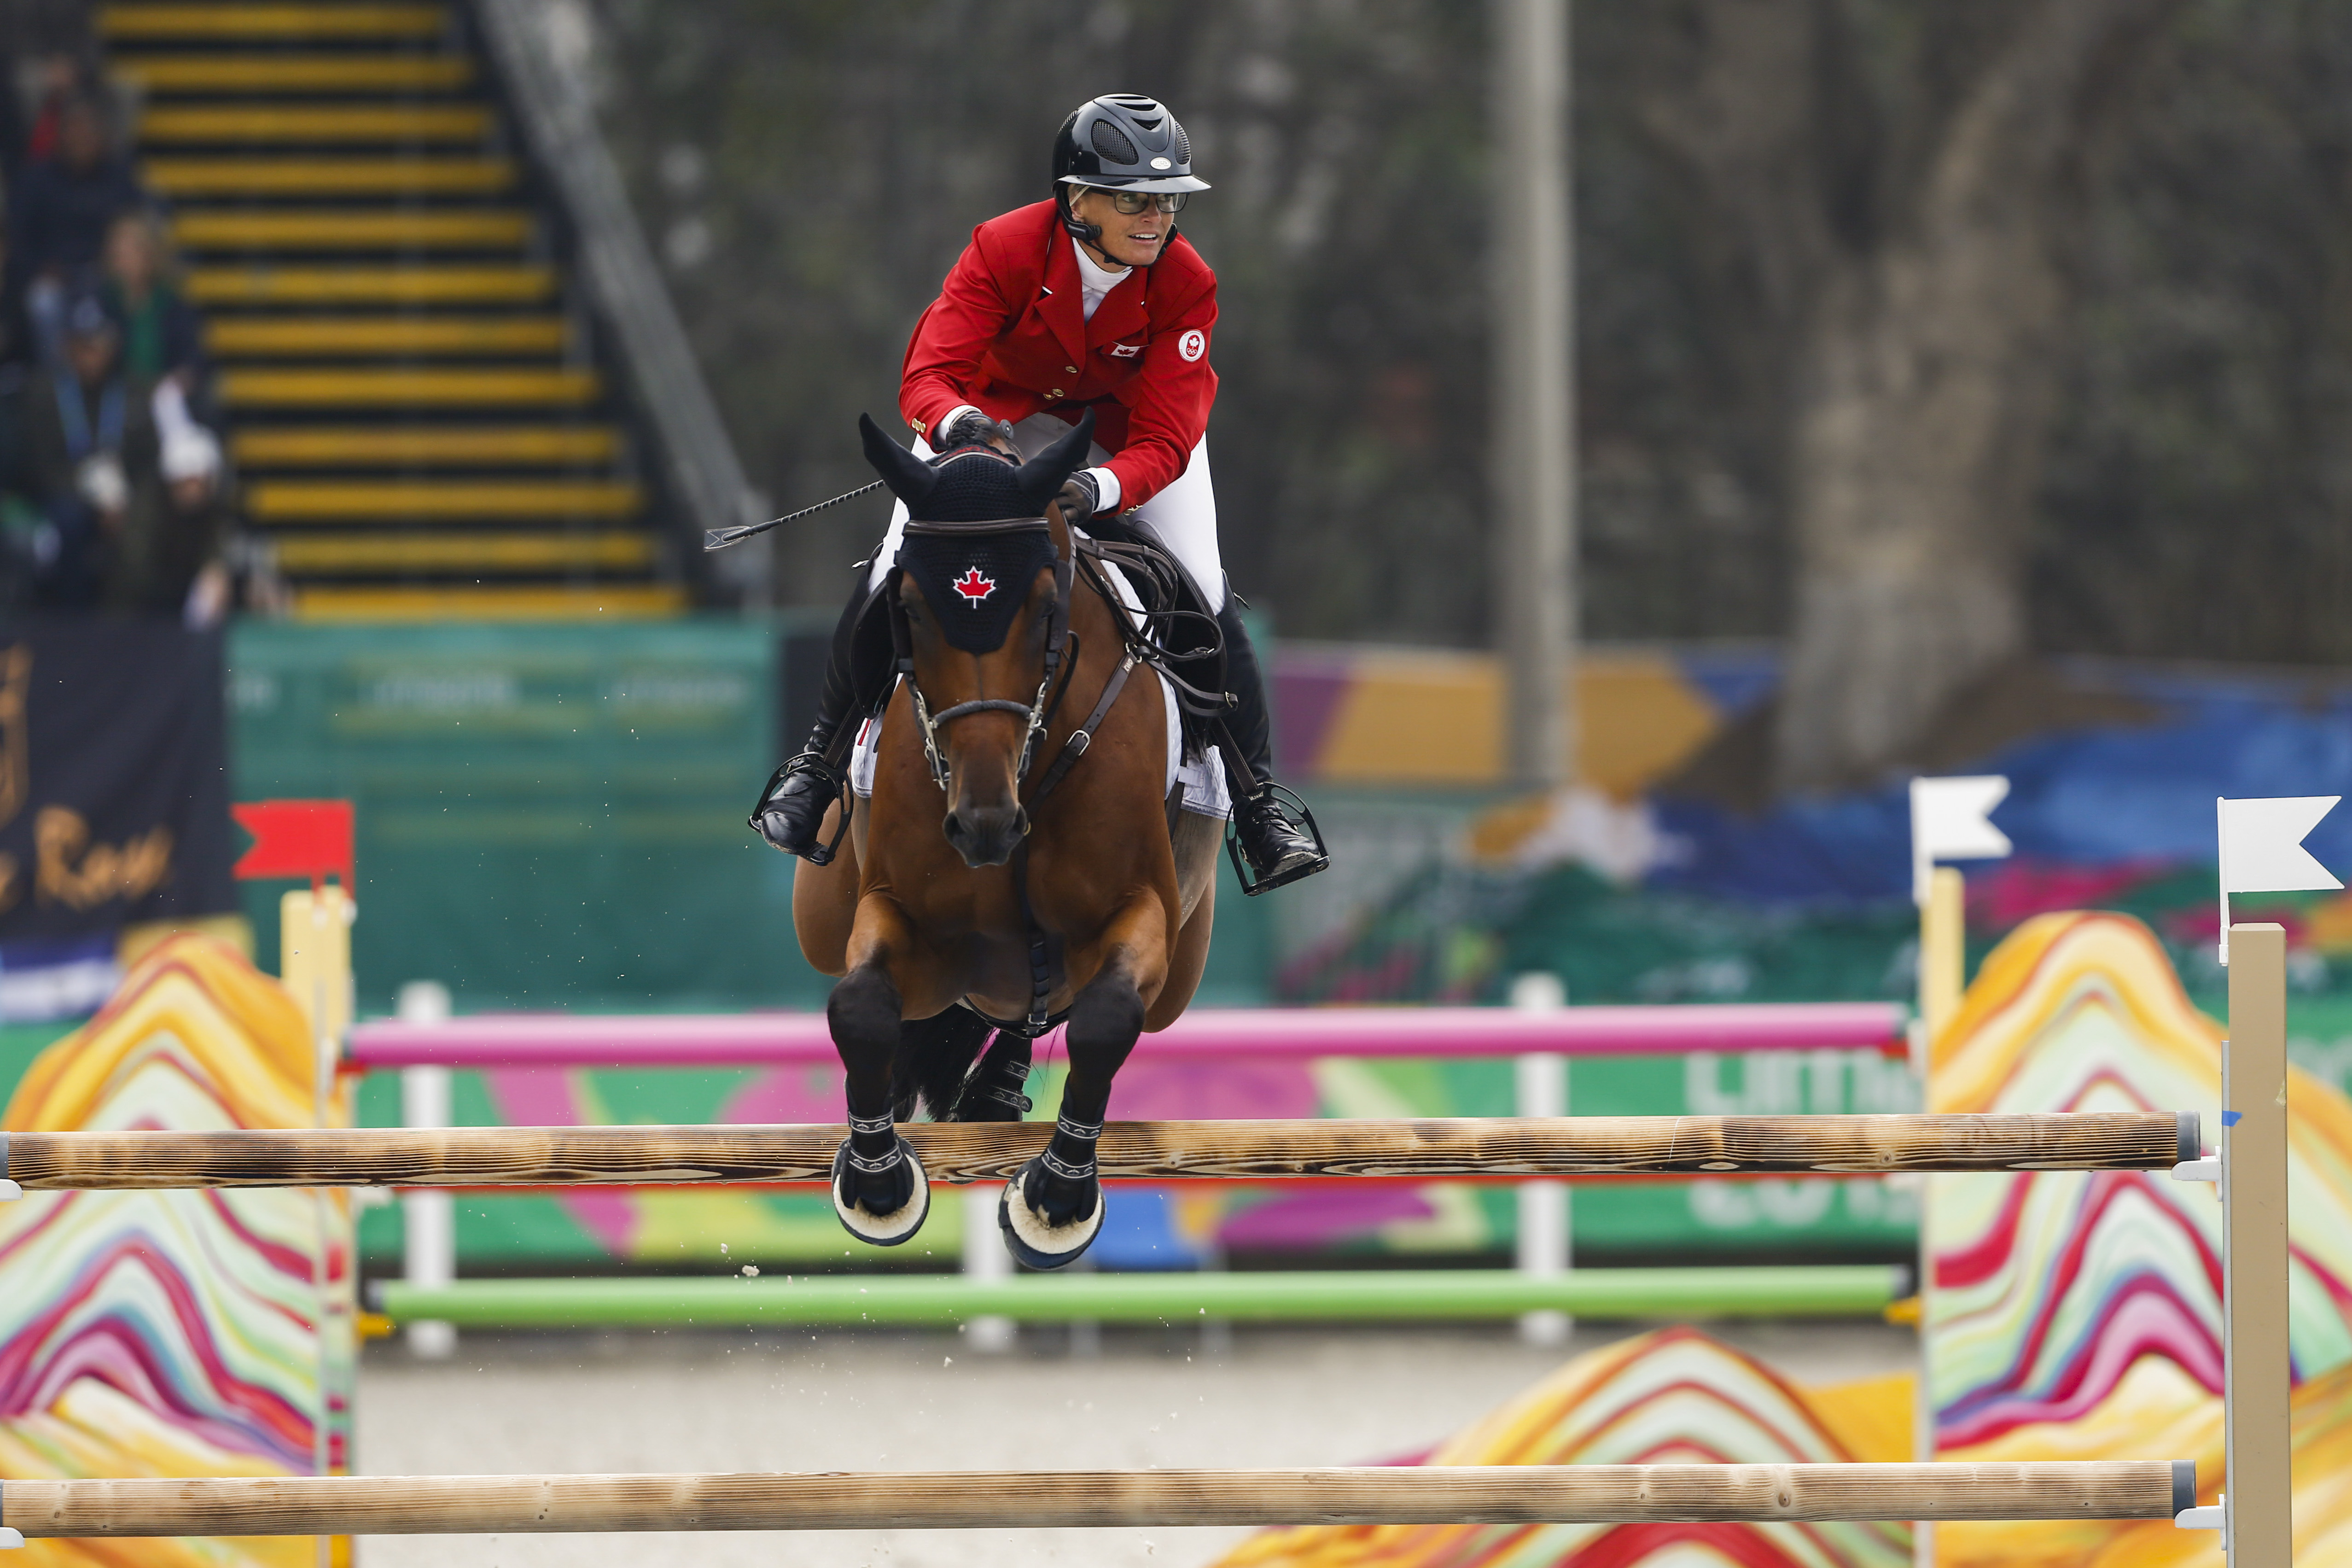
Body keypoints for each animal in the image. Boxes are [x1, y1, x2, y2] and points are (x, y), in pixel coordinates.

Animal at [795, 411, 1223, 1269]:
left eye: (1045, 607)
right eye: (907, 609)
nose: (982, 824)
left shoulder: (1144, 914)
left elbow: (1106, 1018)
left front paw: (1054, 1199)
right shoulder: (904, 923)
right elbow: (860, 1004)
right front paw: (878, 1183)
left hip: (1180, 971)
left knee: (1051, 1009)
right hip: (825, 915)